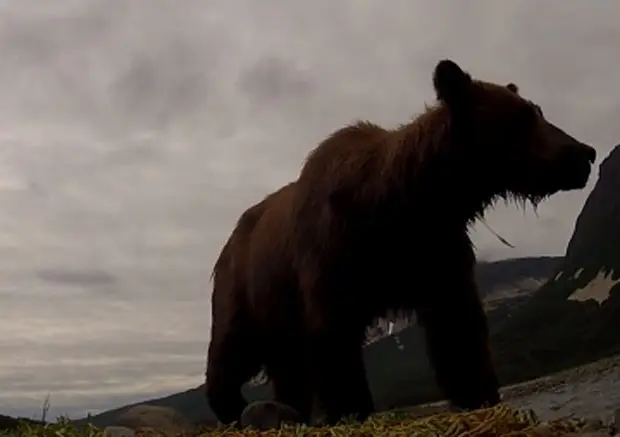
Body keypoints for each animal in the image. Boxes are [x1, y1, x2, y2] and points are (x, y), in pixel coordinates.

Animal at [206, 58, 600, 426]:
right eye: (522, 117)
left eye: (537, 110)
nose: (584, 153)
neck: (401, 204)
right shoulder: (333, 255)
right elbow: (334, 335)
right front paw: (350, 409)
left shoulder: (433, 248)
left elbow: (458, 324)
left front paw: (479, 394)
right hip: (244, 286)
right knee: (232, 347)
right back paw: (234, 405)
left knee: (286, 362)